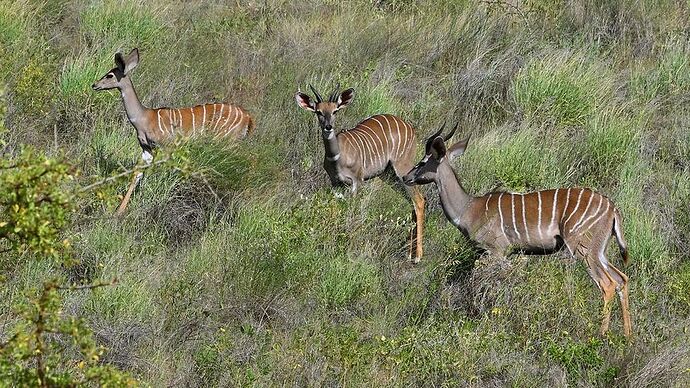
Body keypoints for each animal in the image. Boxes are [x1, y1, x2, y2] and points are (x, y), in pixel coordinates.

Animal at [91, 48, 253, 215]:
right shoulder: (147, 148)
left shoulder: (165, 145)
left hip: (228, 141)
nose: (94, 84)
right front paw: (119, 211)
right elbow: (137, 174)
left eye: (110, 75)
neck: (143, 119)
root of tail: (248, 117)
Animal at [296, 83, 424, 262]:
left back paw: (417, 256)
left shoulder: (358, 180)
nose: (328, 127)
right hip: (389, 175)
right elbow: (337, 210)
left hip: (403, 167)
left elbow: (355, 211)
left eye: (335, 111)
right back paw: (409, 253)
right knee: (411, 202)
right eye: (319, 112)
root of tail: (411, 128)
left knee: (419, 200)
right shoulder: (336, 183)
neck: (338, 157)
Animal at [400, 126, 632, 338]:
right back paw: (628, 337)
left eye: (422, 162)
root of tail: (612, 209)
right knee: (622, 278)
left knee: (608, 284)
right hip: (599, 251)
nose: (405, 177)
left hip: (582, 248)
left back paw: (601, 336)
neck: (469, 209)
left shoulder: (498, 251)